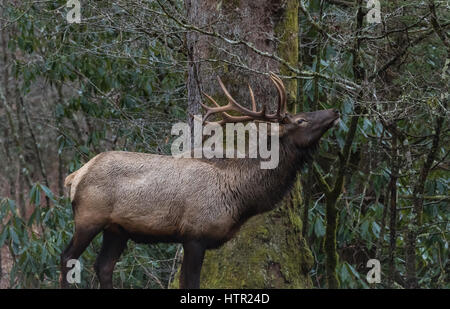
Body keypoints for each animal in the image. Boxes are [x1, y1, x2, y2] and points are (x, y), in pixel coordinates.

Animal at [60, 73, 342, 288]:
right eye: (301, 120)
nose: (335, 109)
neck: (241, 197)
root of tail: (74, 176)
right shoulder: (195, 234)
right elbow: (191, 283)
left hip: (117, 229)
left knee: (104, 266)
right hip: (89, 216)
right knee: (67, 256)